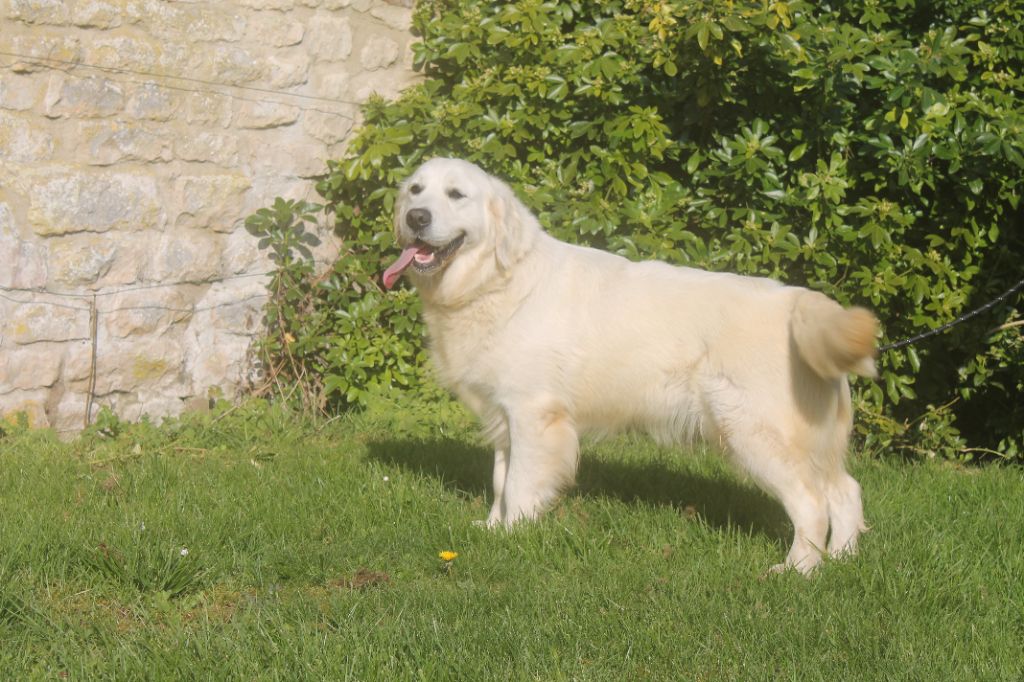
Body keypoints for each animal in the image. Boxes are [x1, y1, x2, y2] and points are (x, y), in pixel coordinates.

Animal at [380, 156, 876, 569]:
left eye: (456, 195)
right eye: (416, 190)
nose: (415, 218)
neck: (498, 280)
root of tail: (799, 303)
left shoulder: (533, 414)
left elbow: (520, 484)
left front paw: (515, 535)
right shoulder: (504, 416)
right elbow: (502, 480)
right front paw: (493, 529)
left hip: (753, 431)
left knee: (811, 504)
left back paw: (798, 570)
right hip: (810, 441)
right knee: (846, 491)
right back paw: (842, 559)